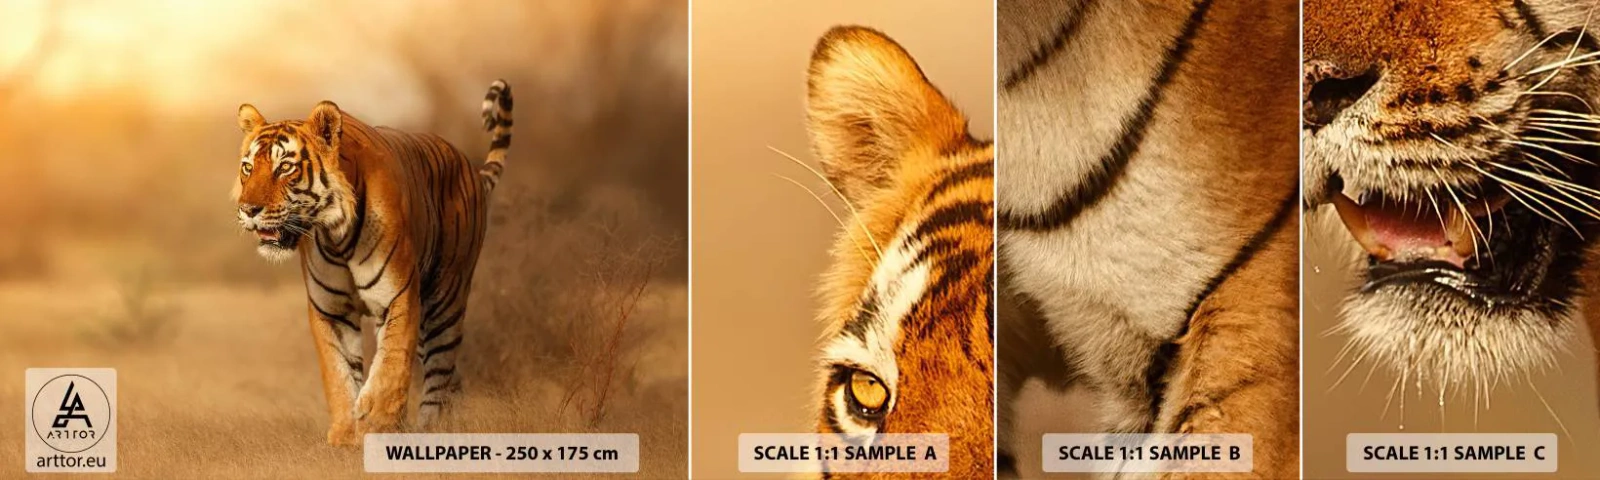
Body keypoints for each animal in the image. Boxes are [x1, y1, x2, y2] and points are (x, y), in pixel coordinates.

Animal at [231, 80, 513, 446]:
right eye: (248, 168)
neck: (335, 235)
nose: (248, 209)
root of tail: (470, 167)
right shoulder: (331, 310)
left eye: (285, 167)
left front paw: (376, 426)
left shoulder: (398, 297)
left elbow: (390, 367)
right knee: (452, 377)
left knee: (439, 373)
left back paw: (431, 429)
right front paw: (344, 435)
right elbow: (338, 375)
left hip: (445, 301)